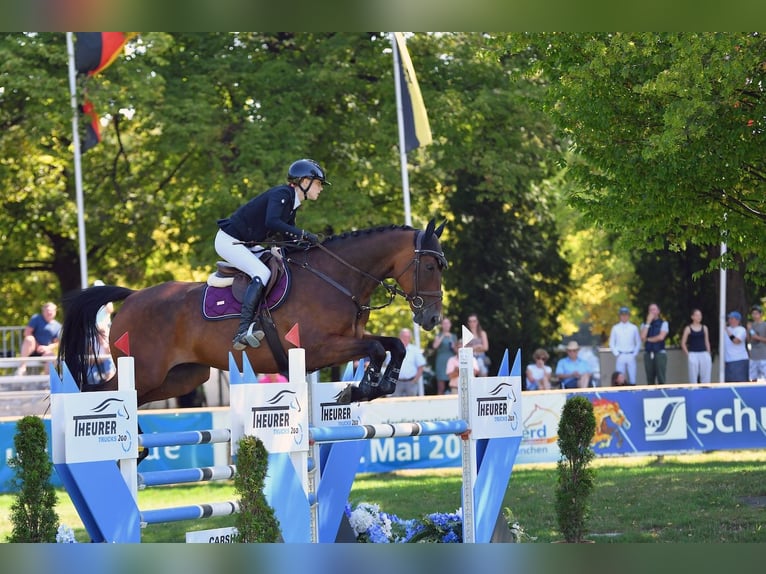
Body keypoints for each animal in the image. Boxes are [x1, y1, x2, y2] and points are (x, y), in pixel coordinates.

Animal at [58, 219, 450, 404]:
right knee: (100, 390)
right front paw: (361, 389)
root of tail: (133, 297)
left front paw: (381, 385)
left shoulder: (347, 338)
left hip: (181, 377)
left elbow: (393, 346)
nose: (431, 319)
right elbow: (377, 348)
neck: (338, 277)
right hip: (145, 370)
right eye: (431, 266)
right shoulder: (317, 349)